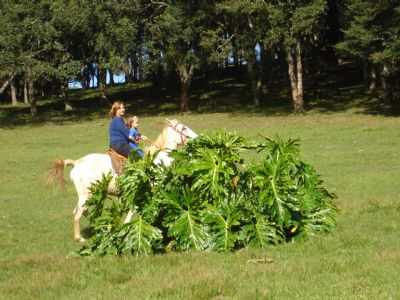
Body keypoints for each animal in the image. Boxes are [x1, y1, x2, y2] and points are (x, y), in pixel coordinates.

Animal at [50, 119, 198, 241]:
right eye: (184, 128)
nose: (196, 137)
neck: (158, 158)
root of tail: (77, 163)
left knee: (80, 212)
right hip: (87, 195)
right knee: (78, 214)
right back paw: (79, 238)